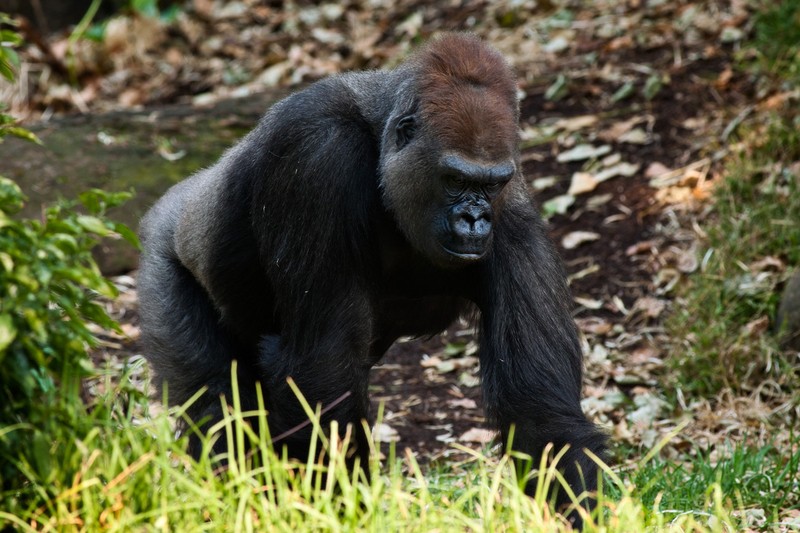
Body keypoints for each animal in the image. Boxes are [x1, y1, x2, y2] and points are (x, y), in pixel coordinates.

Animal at [138, 32, 604, 520]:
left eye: (490, 184)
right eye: (455, 180)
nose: (475, 219)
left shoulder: (512, 215)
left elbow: (540, 409)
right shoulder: (316, 148)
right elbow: (321, 366)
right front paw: (336, 510)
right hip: (163, 261)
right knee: (214, 400)